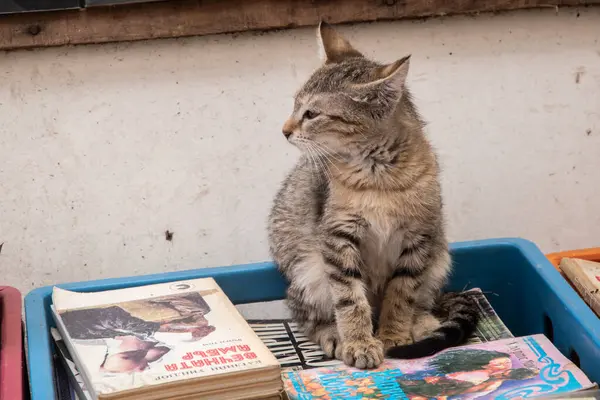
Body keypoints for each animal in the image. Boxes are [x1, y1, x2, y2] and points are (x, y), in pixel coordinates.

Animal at [268, 21, 478, 366]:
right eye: (295, 105)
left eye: (311, 114)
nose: (284, 130)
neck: (378, 175)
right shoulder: (337, 237)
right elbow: (349, 297)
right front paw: (359, 343)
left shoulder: (418, 237)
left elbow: (402, 292)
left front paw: (393, 334)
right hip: (306, 271)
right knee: (304, 314)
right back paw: (332, 335)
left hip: (438, 259)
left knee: (421, 299)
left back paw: (422, 322)